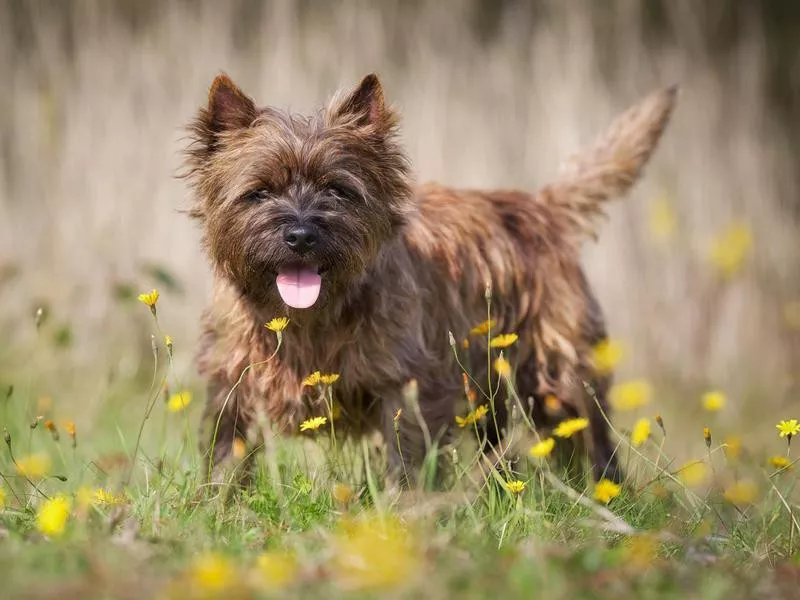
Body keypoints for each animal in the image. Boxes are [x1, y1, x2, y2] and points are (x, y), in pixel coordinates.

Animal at [184, 74, 680, 488]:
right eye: (259, 192)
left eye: (337, 190)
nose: (301, 234)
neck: (307, 319)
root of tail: (542, 206)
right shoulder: (233, 378)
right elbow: (227, 450)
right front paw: (219, 505)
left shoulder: (408, 383)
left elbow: (405, 455)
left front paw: (399, 513)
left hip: (559, 371)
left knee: (590, 435)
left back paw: (605, 493)